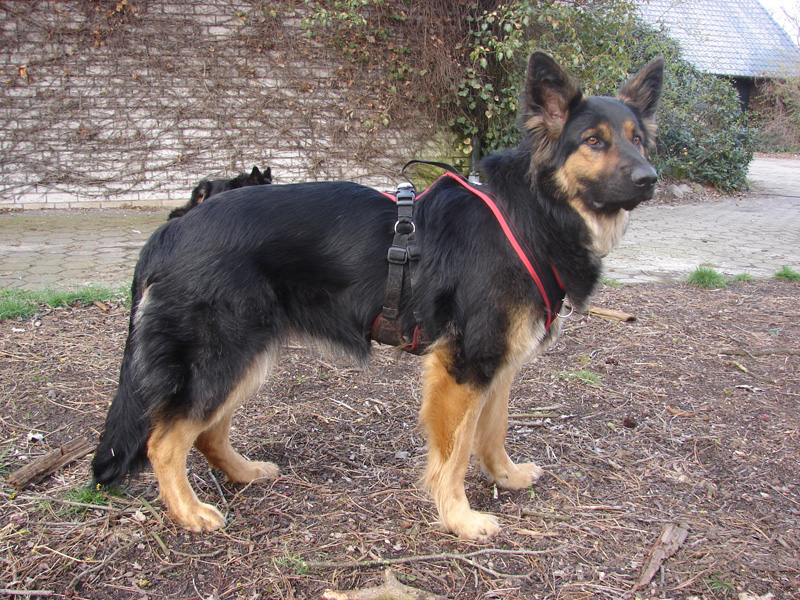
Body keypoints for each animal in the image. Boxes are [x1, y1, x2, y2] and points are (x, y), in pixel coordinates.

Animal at [92, 52, 663, 540]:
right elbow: (456, 452)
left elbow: (493, 430)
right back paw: (189, 512)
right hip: (222, 357)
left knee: (207, 432)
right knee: (164, 440)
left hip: (245, 359)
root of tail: (174, 228)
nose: (650, 178)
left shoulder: (496, 362)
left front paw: (505, 477)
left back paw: (244, 473)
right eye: (594, 141)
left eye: (638, 139)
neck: (534, 211)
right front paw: (459, 518)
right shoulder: (463, 366)